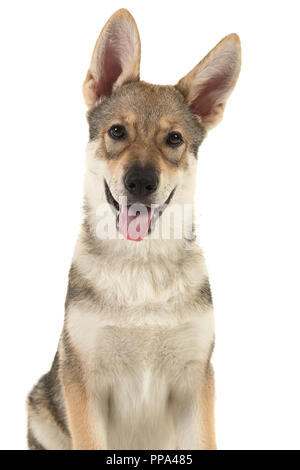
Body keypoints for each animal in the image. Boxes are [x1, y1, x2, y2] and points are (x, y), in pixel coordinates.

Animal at [27, 6, 240, 448]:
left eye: (174, 139)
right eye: (117, 131)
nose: (140, 182)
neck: (141, 270)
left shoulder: (196, 380)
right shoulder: (83, 383)